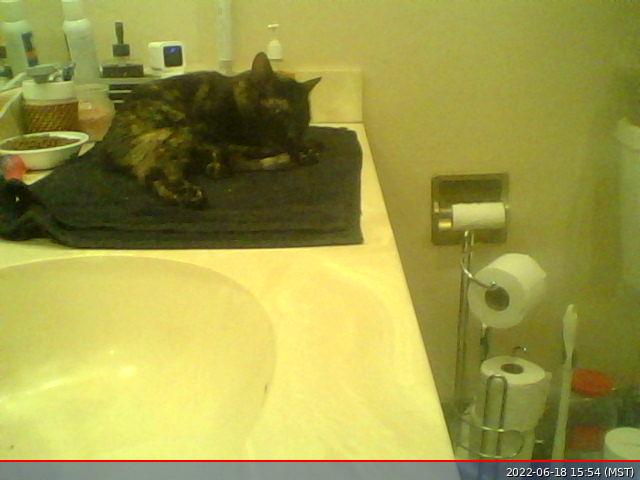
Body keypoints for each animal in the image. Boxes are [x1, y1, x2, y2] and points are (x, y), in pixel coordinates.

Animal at [99, 52, 321, 208]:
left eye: (304, 118)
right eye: (280, 112)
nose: (294, 134)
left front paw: (301, 150)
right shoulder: (210, 137)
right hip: (178, 132)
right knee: (158, 173)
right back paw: (190, 194)